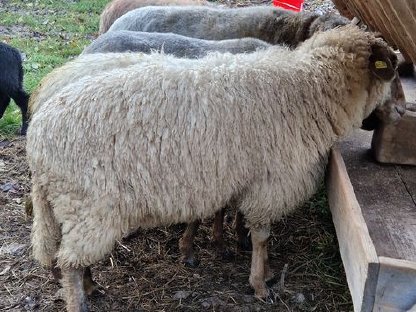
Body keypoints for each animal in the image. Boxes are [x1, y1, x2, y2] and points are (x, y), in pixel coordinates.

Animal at [27, 25, 398, 310]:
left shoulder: (235, 178)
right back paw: (80, 299)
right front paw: (259, 283)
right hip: (89, 207)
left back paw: (90, 285)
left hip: (69, 207)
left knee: (63, 254)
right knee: (70, 262)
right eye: (392, 74)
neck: (310, 90)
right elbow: (261, 237)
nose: (393, 116)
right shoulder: (268, 185)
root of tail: (37, 138)